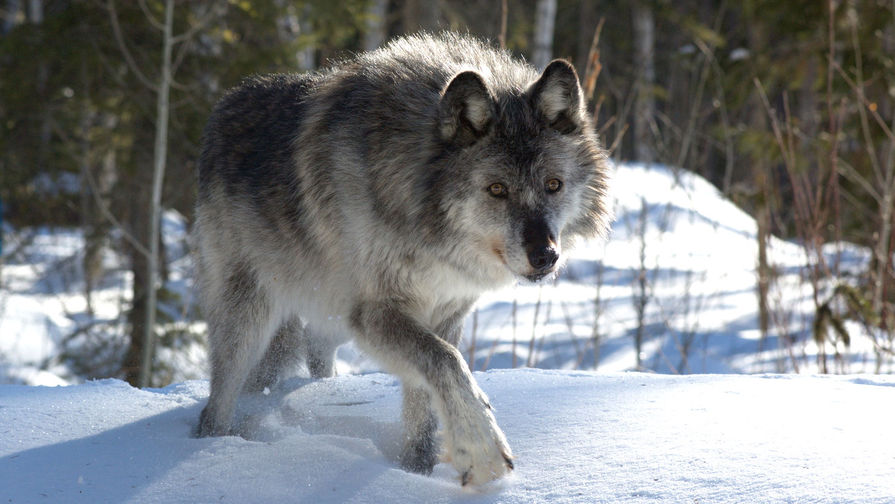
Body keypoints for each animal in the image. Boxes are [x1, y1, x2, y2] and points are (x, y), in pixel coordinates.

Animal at [196, 30, 612, 484]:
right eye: (497, 189)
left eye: (554, 184)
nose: (545, 256)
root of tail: (223, 105)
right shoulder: (376, 313)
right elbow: (448, 363)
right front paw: (481, 450)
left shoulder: (443, 314)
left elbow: (424, 398)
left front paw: (416, 471)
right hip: (253, 318)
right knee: (219, 400)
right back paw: (213, 448)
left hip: (329, 319)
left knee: (310, 351)